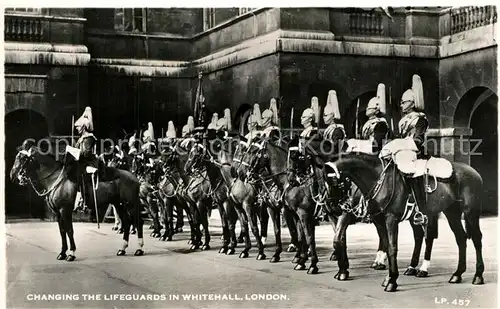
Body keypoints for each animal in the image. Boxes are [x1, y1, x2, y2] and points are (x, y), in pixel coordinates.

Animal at [9, 138, 146, 258]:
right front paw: (62, 253)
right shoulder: (58, 212)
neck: (56, 179)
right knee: (127, 223)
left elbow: (69, 230)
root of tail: (134, 177)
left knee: (138, 222)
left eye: (21, 158)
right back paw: (122, 249)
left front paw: (71, 253)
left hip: (131, 204)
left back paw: (139, 249)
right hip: (119, 205)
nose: (12, 175)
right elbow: (62, 231)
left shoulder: (65, 210)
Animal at [326, 152, 486, 292]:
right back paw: (457, 274)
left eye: (334, 181)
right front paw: (386, 276)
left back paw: (477, 275)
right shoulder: (379, 220)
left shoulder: (391, 219)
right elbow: (380, 244)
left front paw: (392, 281)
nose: (334, 206)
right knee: (460, 238)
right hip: (451, 213)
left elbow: (392, 248)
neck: (378, 180)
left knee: (475, 239)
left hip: (470, 213)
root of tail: (474, 172)